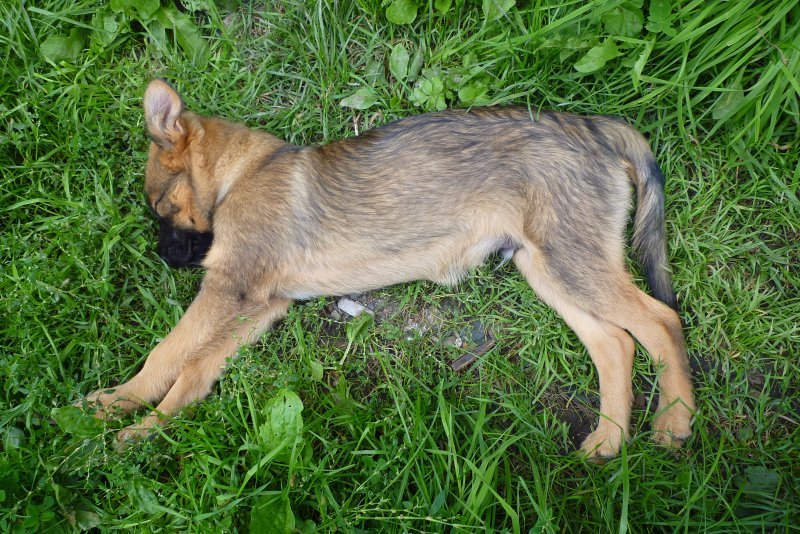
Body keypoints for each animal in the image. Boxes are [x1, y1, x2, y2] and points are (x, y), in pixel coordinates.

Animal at [77, 79, 695, 458]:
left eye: (161, 207)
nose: (165, 258)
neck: (243, 175)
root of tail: (591, 125)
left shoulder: (228, 290)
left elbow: (169, 353)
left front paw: (118, 411)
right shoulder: (261, 304)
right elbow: (195, 370)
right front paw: (153, 427)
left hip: (572, 261)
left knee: (661, 321)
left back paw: (673, 426)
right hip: (548, 266)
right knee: (616, 342)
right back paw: (608, 442)